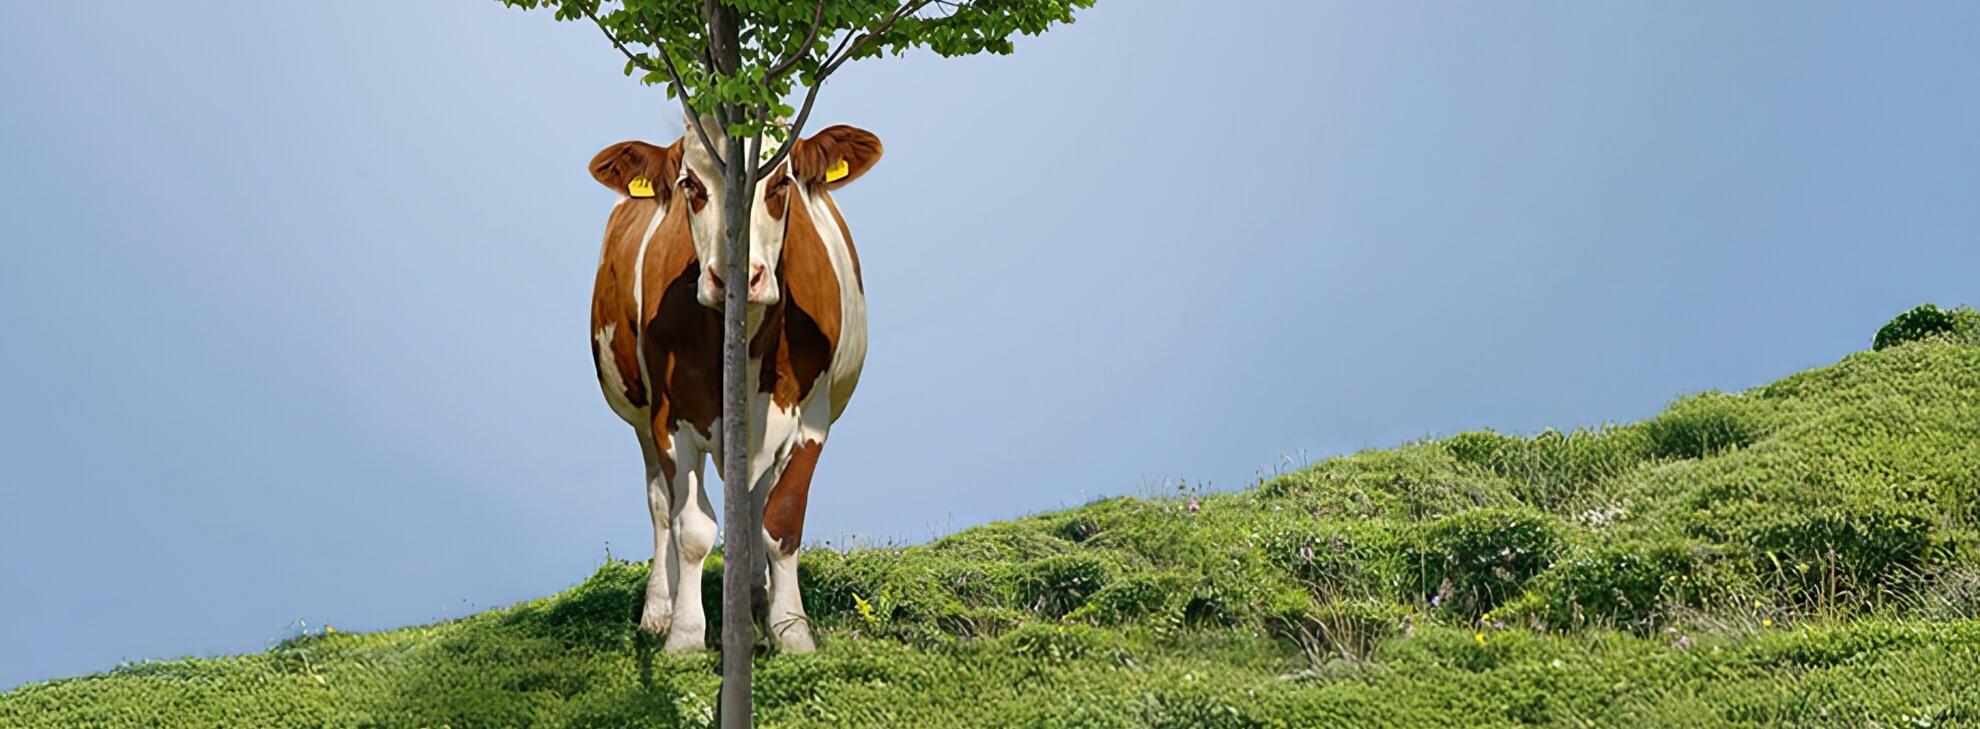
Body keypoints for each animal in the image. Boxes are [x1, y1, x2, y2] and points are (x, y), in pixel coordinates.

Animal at [586, 119, 881, 653]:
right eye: (690, 185)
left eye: (781, 182)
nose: (736, 278)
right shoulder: (669, 417)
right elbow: (692, 526)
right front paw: (683, 636)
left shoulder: (812, 417)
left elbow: (781, 520)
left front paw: (791, 630)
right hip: (639, 415)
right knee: (661, 504)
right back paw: (660, 607)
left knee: (752, 501)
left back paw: (754, 599)